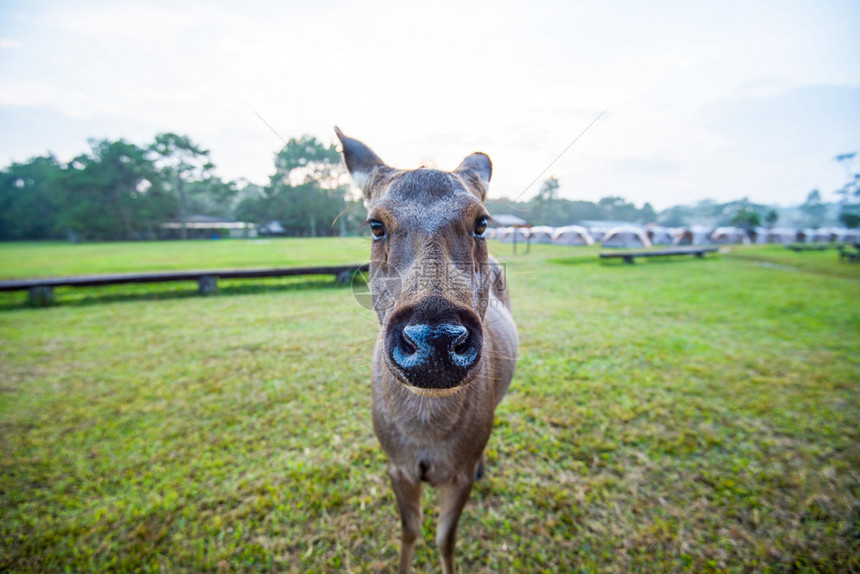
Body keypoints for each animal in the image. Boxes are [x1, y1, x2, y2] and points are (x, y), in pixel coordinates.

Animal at [336, 129, 516, 574]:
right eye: (376, 224)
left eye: (481, 222)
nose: (436, 339)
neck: (425, 434)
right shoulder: (396, 465)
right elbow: (410, 532)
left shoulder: (458, 473)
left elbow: (445, 539)